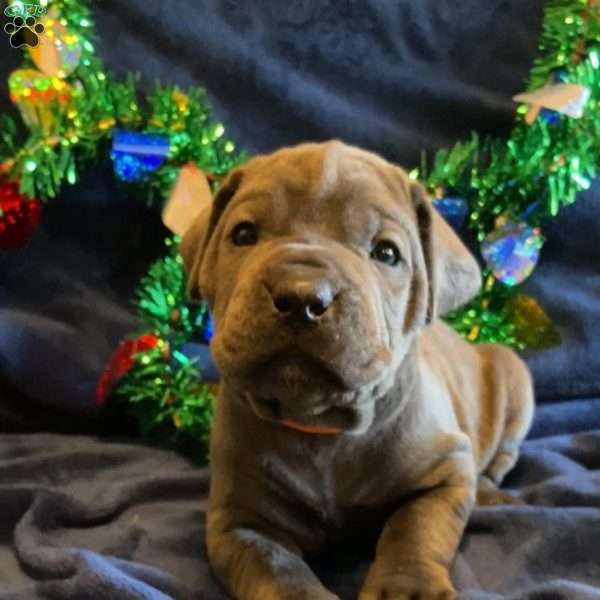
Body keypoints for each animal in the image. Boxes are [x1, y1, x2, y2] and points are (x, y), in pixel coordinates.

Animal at [180, 142, 532, 600]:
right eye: (243, 235)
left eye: (386, 253)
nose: (301, 297)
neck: (322, 426)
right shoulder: (238, 520)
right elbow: (276, 568)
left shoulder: (446, 469)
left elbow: (415, 528)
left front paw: (407, 588)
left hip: (513, 374)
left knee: (499, 459)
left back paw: (493, 494)